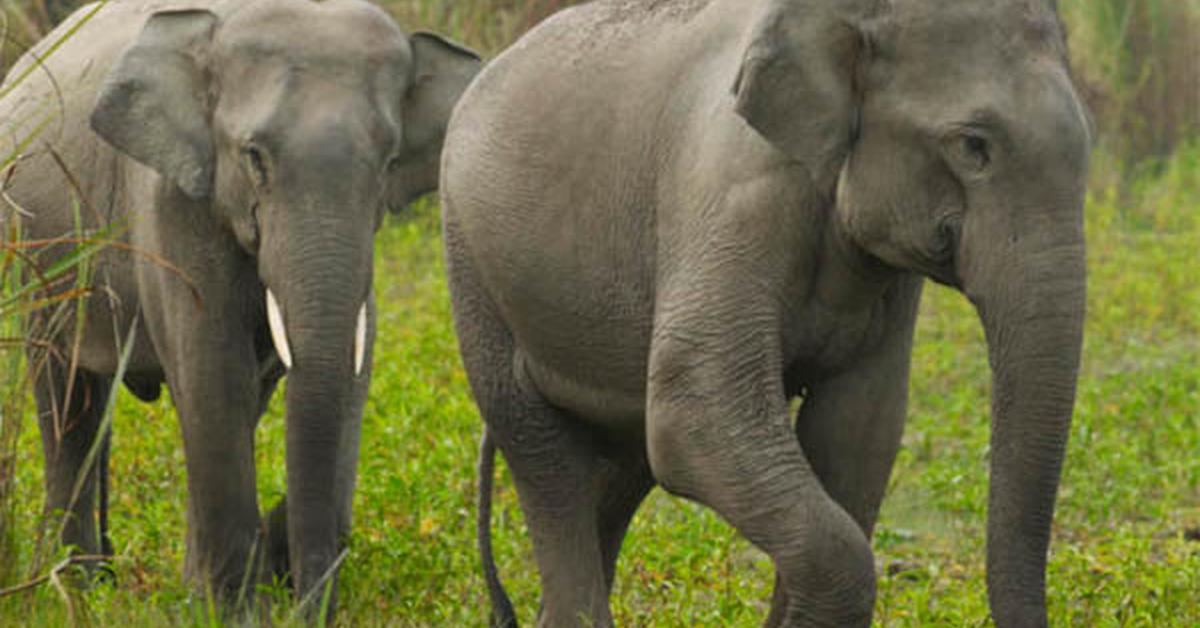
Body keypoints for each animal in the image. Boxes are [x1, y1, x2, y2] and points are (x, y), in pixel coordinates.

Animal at [1, 0, 477, 614]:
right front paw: (231, 610)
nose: (305, 604)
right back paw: (79, 590)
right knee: (70, 399)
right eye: (254, 157)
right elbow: (213, 373)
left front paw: (211, 597)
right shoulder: (169, 201)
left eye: (389, 159)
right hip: (39, 258)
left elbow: (339, 369)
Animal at [444, 0, 1099, 624]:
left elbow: (858, 426)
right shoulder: (732, 195)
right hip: (472, 265)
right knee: (544, 455)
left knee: (622, 465)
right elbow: (693, 410)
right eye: (973, 146)